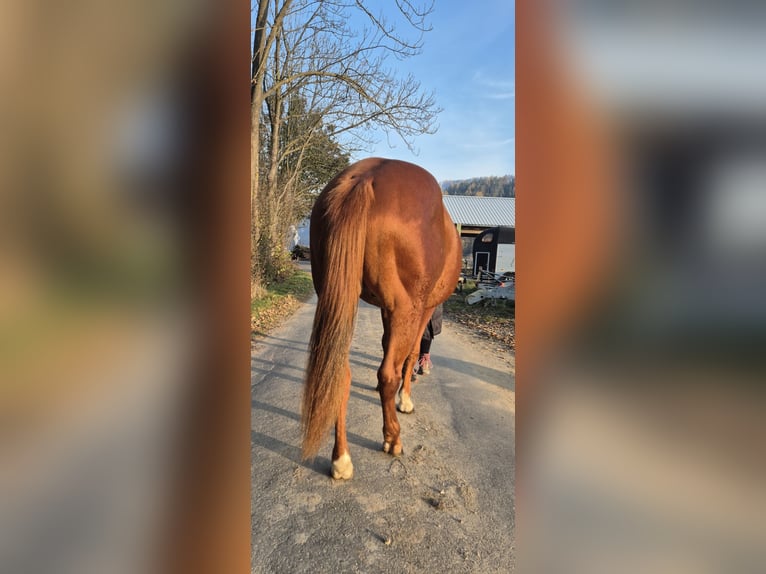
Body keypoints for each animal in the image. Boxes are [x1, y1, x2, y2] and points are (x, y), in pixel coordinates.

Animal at [304, 158, 462, 482]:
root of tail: (364, 177)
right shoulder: (421, 308)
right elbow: (410, 353)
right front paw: (405, 399)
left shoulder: (385, 309)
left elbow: (386, 343)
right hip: (405, 308)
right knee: (388, 373)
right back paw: (393, 439)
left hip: (337, 295)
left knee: (340, 373)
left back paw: (341, 459)